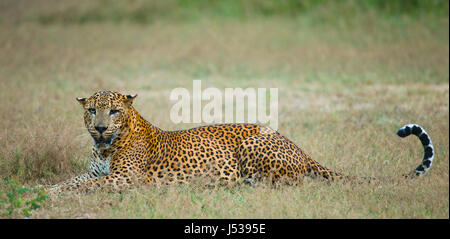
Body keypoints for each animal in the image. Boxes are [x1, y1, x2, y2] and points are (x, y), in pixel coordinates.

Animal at [48, 90, 432, 193]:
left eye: (114, 111)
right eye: (92, 110)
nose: (100, 128)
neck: (104, 146)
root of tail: (298, 146)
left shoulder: (124, 178)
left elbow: (80, 187)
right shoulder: (95, 172)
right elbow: (69, 181)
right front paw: (44, 190)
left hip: (254, 148)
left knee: (290, 182)